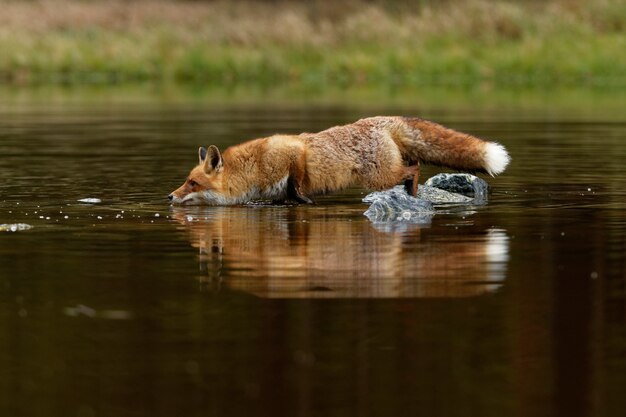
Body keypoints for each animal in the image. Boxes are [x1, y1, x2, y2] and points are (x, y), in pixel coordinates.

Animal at [169, 116, 508, 204]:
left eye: (192, 182)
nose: (169, 196)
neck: (252, 168)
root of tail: (382, 119)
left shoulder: (293, 151)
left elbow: (297, 184)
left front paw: (304, 199)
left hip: (379, 176)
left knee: (414, 168)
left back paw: (411, 193)